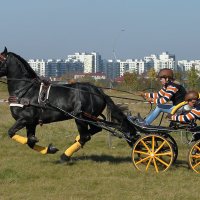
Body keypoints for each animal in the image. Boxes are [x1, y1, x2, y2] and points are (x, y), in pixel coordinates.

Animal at [0, 47, 137, 162]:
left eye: (0, 59)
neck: (25, 90)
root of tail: (98, 92)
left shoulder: (25, 119)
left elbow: (11, 133)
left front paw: (52, 150)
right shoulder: (31, 123)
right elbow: (30, 141)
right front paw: (49, 149)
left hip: (80, 117)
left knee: (85, 136)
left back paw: (65, 156)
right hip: (89, 117)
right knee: (94, 130)